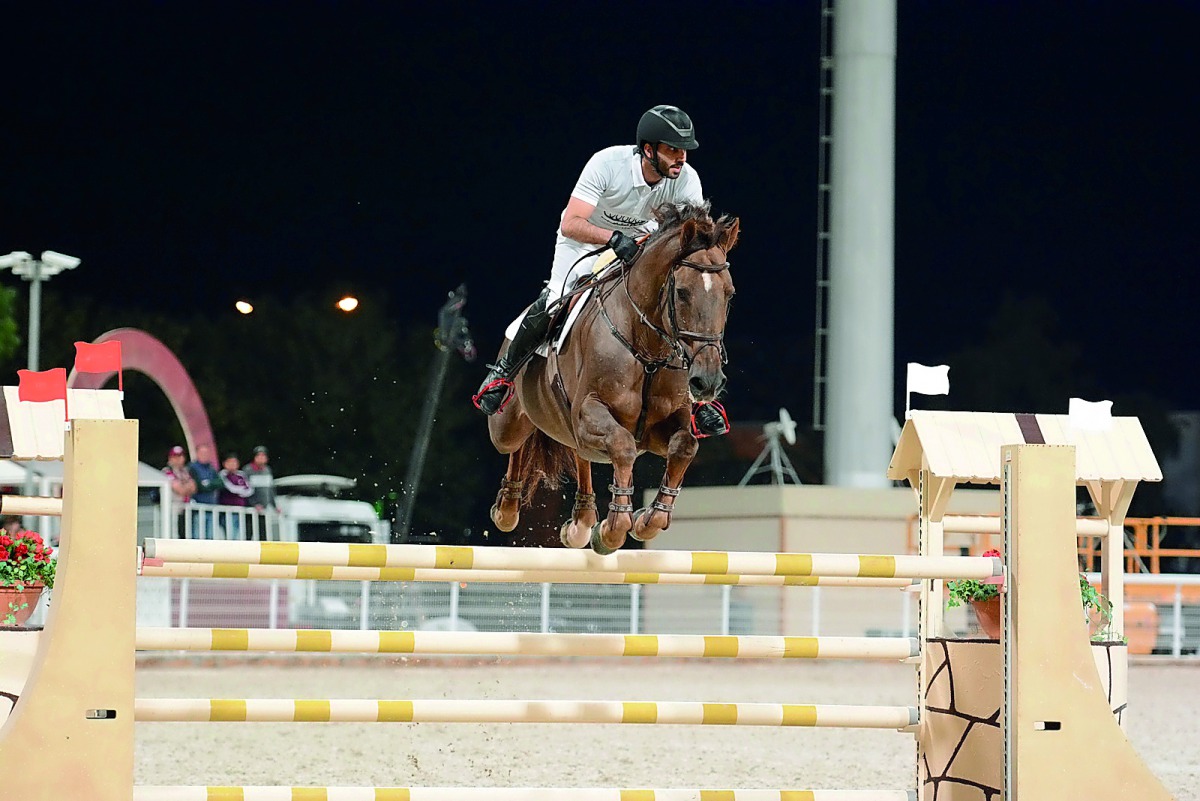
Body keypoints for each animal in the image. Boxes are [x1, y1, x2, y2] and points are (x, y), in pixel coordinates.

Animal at [482, 200, 734, 553]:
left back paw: (582, 521)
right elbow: (622, 445)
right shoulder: (590, 411)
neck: (648, 349)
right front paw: (614, 529)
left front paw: (647, 520)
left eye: (730, 294)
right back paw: (507, 507)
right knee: (518, 443)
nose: (708, 381)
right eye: (682, 292)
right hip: (508, 426)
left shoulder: (660, 427)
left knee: (579, 453)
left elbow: (684, 446)